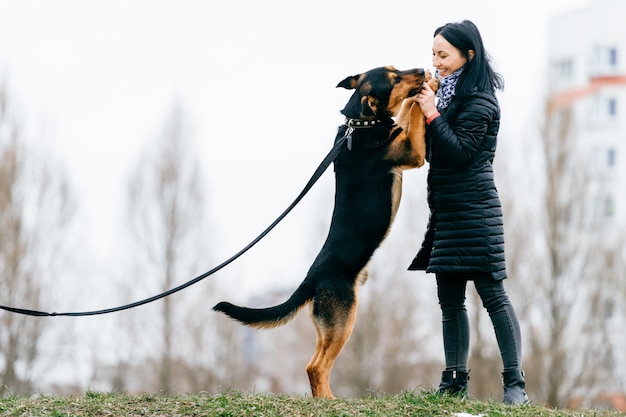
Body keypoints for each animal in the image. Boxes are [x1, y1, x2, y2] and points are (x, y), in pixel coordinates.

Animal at [212, 66, 436, 398]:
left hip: (328, 326)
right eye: (394, 79)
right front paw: (429, 88)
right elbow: (414, 115)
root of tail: (311, 279)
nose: (421, 70)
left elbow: (407, 113)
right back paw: (331, 400)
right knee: (317, 367)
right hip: (344, 319)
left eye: (397, 70)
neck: (359, 124)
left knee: (312, 364)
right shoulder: (411, 152)